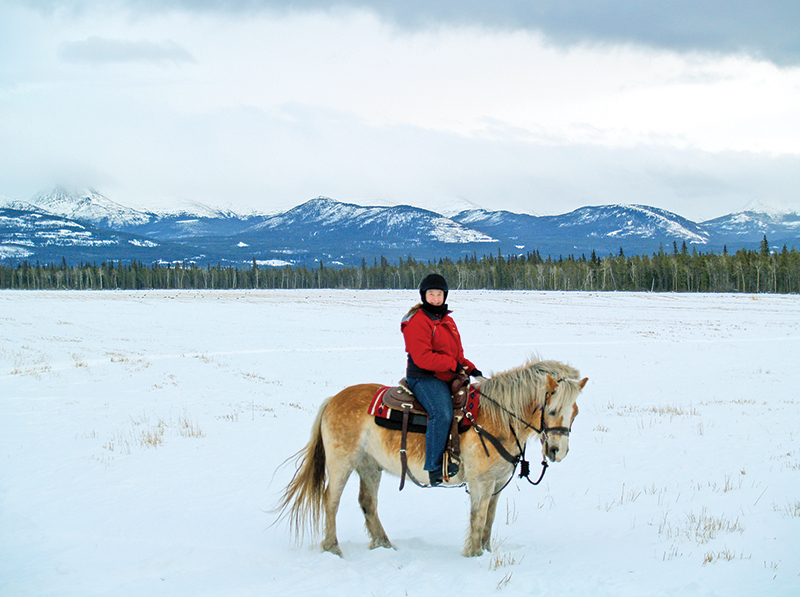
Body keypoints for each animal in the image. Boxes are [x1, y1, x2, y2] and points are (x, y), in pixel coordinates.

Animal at [275, 358, 587, 557]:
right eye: (551, 410)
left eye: (575, 412)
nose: (557, 451)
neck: (497, 417)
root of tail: (334, 399)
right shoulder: (481, 482)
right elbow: (477, 517)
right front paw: (473, 555)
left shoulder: (497, 484)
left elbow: (489, 519)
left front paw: (486, 551)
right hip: (342, 462)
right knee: (331, 501)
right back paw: (333, 548)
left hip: (370, 466)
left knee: (367, 502)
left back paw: (384, 545)